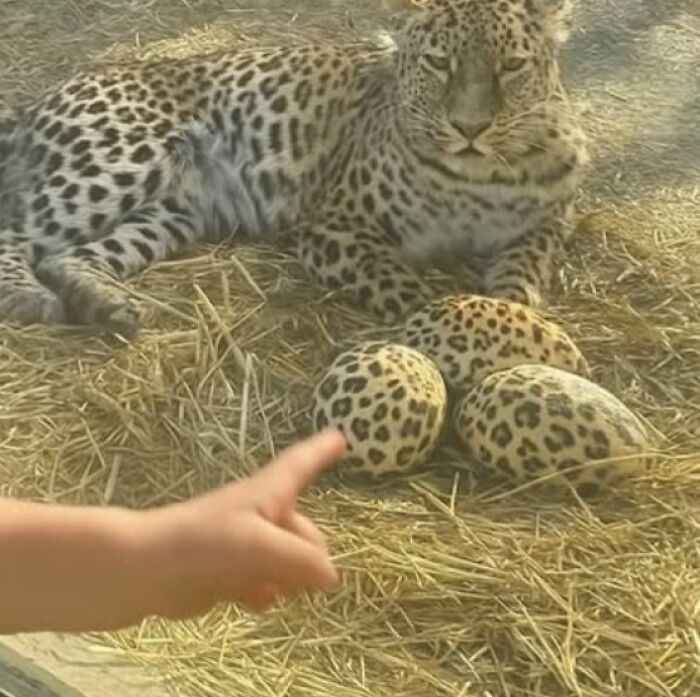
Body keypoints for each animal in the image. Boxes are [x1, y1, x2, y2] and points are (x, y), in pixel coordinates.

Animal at [0, 0, 587, 338]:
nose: (470, 127)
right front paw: (449, 324)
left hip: (170, 214)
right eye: (439, 62)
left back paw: (109, 305)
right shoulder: (335, 228)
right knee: (17, 232)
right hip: (115, 162)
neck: (479, 177)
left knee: (66, 257)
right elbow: (406, 286)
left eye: (512, 66)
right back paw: (29, 298)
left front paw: (511, 316)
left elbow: (525, 272)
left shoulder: (546, 224)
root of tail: (41, 97)